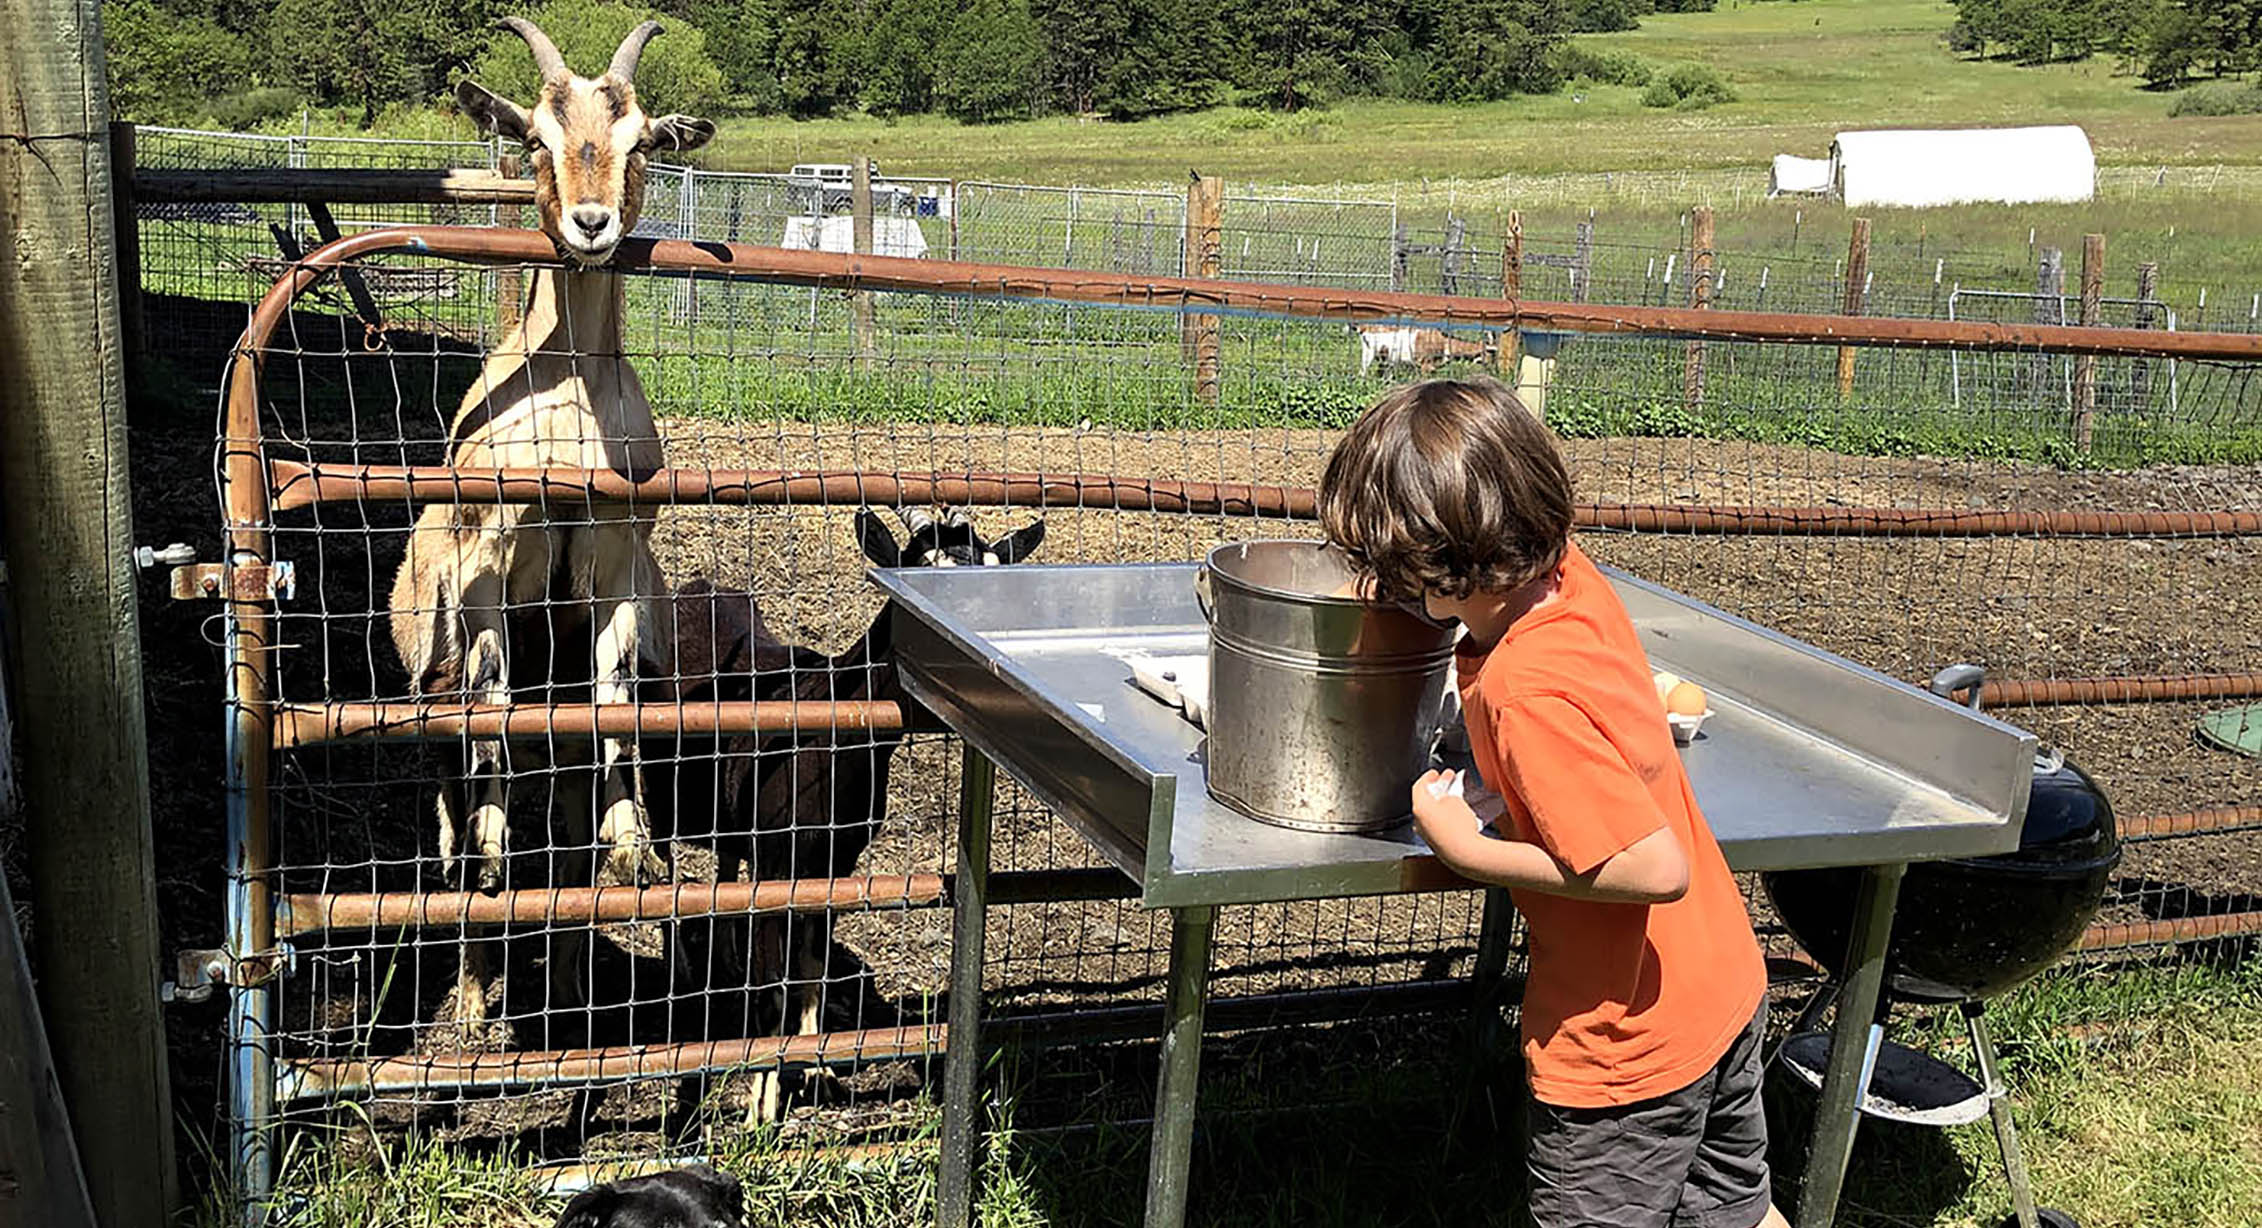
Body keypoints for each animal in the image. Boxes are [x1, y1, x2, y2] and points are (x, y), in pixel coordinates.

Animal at [384, 16, 710, 1040]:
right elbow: (493, 700)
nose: (592, 224)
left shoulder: (616, 560)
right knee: (453, 822)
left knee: (560, 839)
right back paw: (472, 998)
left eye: (641, 139)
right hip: (429, 706)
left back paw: (568, 993)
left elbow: (615, 699)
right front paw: (495, 855)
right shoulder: (488, 565)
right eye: (534, 134)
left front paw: (634, 848)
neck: (567, 400)